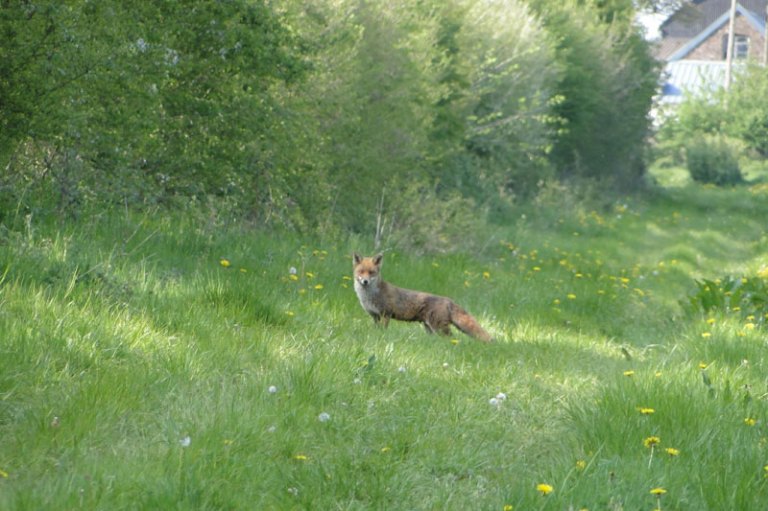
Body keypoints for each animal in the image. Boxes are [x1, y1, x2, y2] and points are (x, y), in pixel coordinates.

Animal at [352, 253, 493, 342]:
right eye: (361, 272)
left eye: (371, 272)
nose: (365, 281)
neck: (369, 295)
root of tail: (448, 300)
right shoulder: (375, 316)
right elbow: (376, 330)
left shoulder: (386, 314)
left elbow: (384, 330)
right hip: (429, 328)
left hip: (439, 327)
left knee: (452, 339)